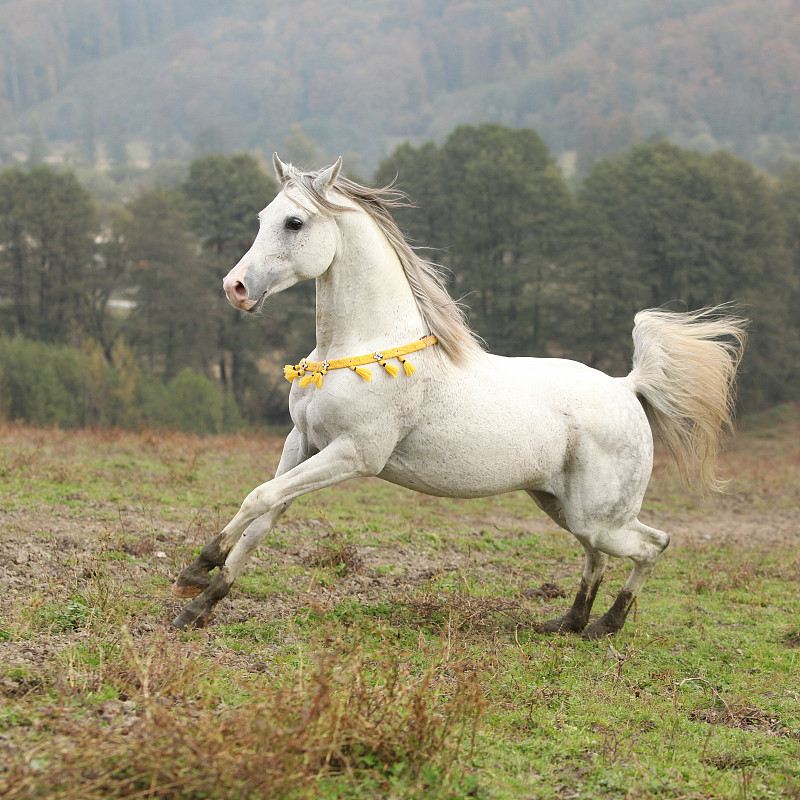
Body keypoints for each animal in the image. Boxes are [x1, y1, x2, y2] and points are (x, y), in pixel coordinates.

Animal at [172, 156, 748, 640]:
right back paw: (568, 622)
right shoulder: (303, 443)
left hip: (598, 513)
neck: (357, 349)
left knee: (652, 545)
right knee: (598, 556)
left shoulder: (353, 455)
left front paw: (196, 569)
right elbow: (262, 517)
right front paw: (199, 603)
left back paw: (606, 625)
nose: (236, 288)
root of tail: (627, 386)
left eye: (294, 223)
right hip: (564, 505)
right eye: (263, 216)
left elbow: (259, 499)